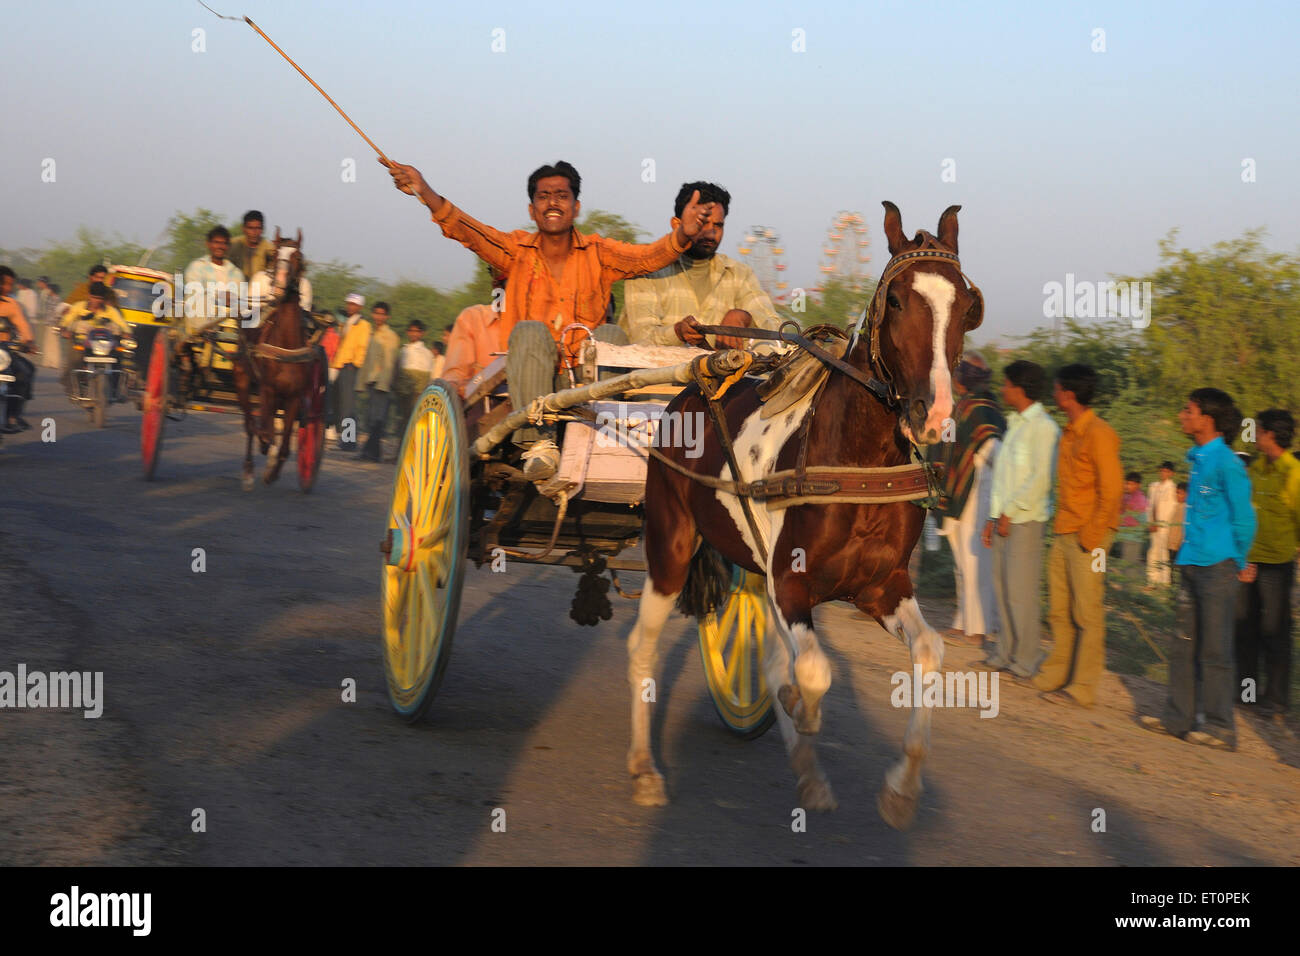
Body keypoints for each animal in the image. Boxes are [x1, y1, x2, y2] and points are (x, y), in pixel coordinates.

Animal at [629, 204, 982, 832]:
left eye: (967, 305)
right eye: (897, 301)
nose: (934, 413)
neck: (852, 461)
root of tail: (691, 386)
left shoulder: (881, 587)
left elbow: (928, 653)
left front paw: (900, 790)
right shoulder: (790, 583)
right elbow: (813, 673)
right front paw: (802, 708)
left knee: (769, 658)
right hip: (669, 548)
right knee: (641, 648)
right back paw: (646, 770)